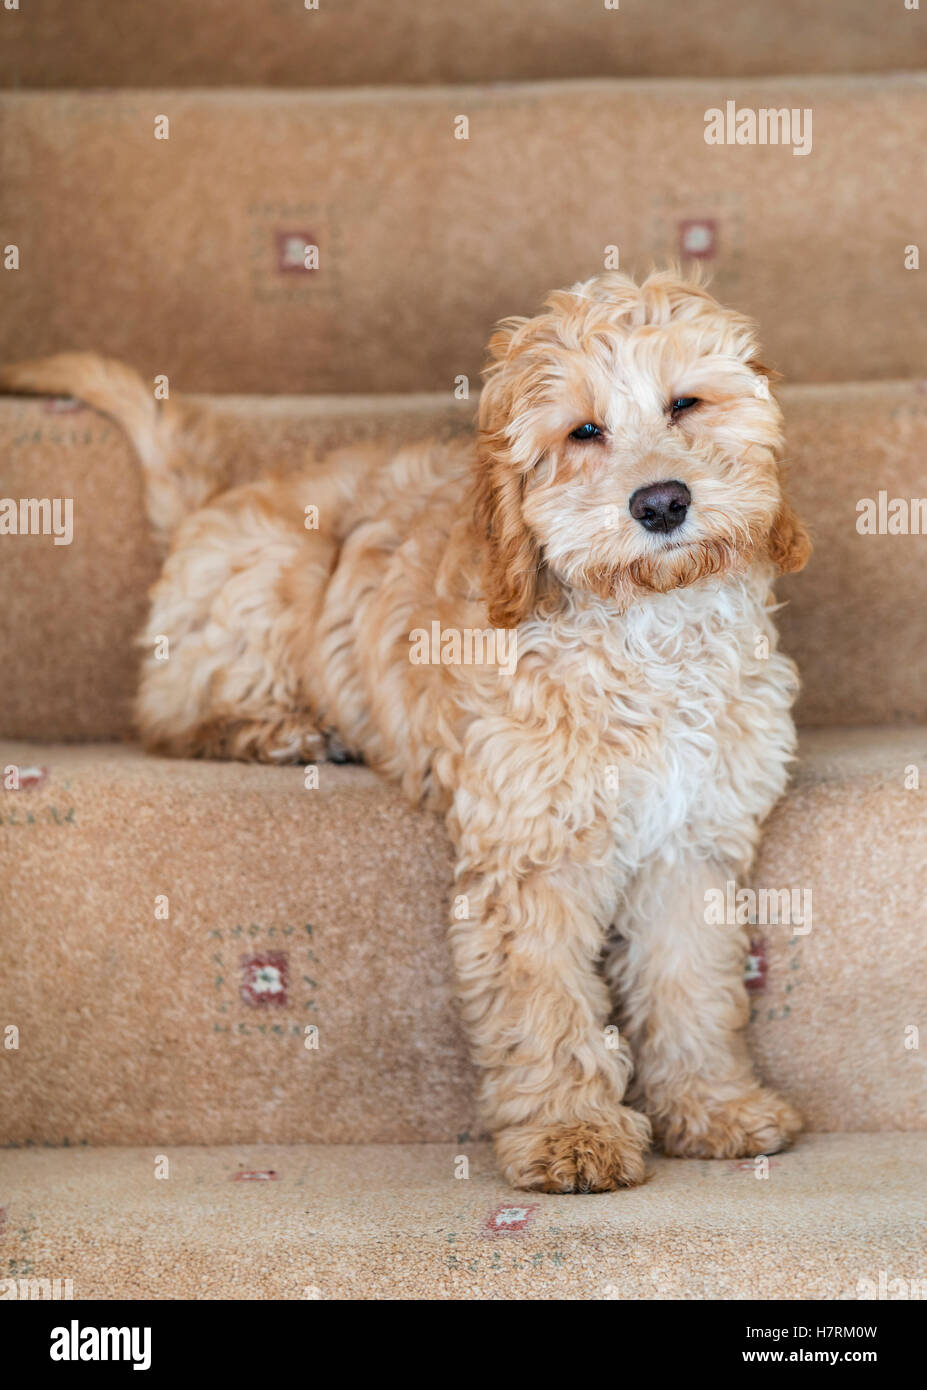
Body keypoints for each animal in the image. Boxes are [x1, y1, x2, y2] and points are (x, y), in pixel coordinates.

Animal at [0, 268, 806, 1195]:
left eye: (685, 404)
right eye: (583, 431)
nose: (662, 502)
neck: (647, 632)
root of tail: (214, 501)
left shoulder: (692, 844)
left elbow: (691, 985)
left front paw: (714, 1107)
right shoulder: (527, 857)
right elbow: (544, 1003)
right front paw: (571, 1133)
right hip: (278, 570)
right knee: (169, 712)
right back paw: (279, 731)